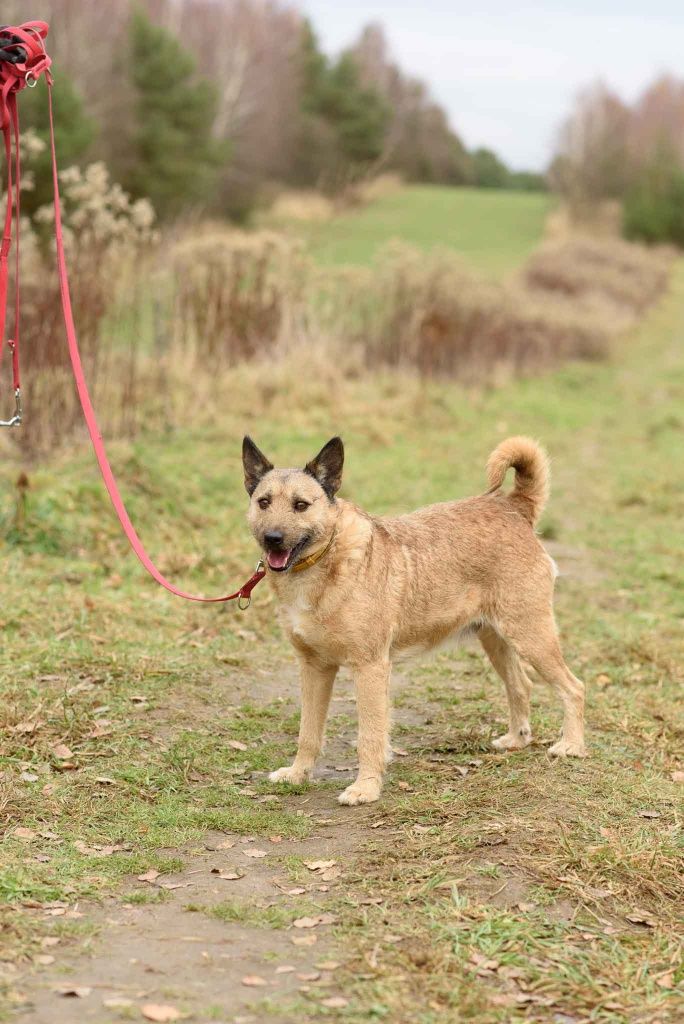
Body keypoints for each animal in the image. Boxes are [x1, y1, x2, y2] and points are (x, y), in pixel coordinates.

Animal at [242, 436, 585, 802]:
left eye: (301, 505)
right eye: (264, 502)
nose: (272, 538)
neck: (325, 560)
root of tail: (513, 507)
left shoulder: (371, 668)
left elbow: (370, 737)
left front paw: (365, 788)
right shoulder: (314, 668)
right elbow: (308, 732)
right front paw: (297, 774)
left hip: (532, 637)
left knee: (574, 687)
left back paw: (571, 746)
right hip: (497, 639)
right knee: (521, 685)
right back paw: (517, 740)